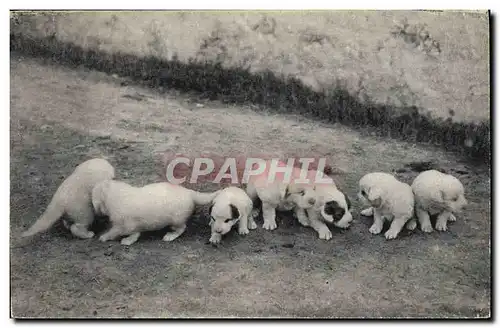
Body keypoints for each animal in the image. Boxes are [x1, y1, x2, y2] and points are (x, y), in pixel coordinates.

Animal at [92, 179, 221, 246]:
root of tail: (189, 192)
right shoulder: (133, 224)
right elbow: (136, 233)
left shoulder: (122, 225)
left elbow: (114, 232)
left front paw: (105, 237)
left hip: (176, 220)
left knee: (182, 228)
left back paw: (170, 236)